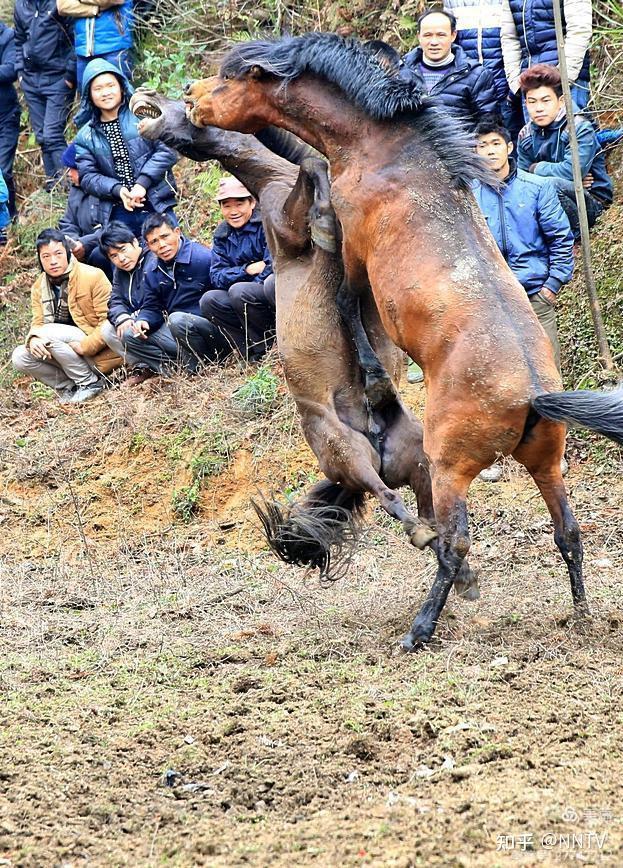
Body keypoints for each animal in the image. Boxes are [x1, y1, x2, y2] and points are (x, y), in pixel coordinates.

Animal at [129, 88, 464, 584]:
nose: (144, 94)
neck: (271, 180)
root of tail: (373, 441)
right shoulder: (287, 227)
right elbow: (314, 166)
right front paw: (324, 223)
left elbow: (315, 164)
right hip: (349, 455)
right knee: (389, 499)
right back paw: (424, 536)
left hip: (414, 458)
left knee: (422, 504)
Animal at [185, 34, 623, 648]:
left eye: (229, 81)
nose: (190, 98)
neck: (384, 148)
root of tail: (535, 396)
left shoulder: (353, 247)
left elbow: (347, 303)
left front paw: (372, 380)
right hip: (546, 463)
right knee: (569, 531)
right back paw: (581, 615)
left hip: (449, 470)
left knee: (452, 541)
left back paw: (420, 628)